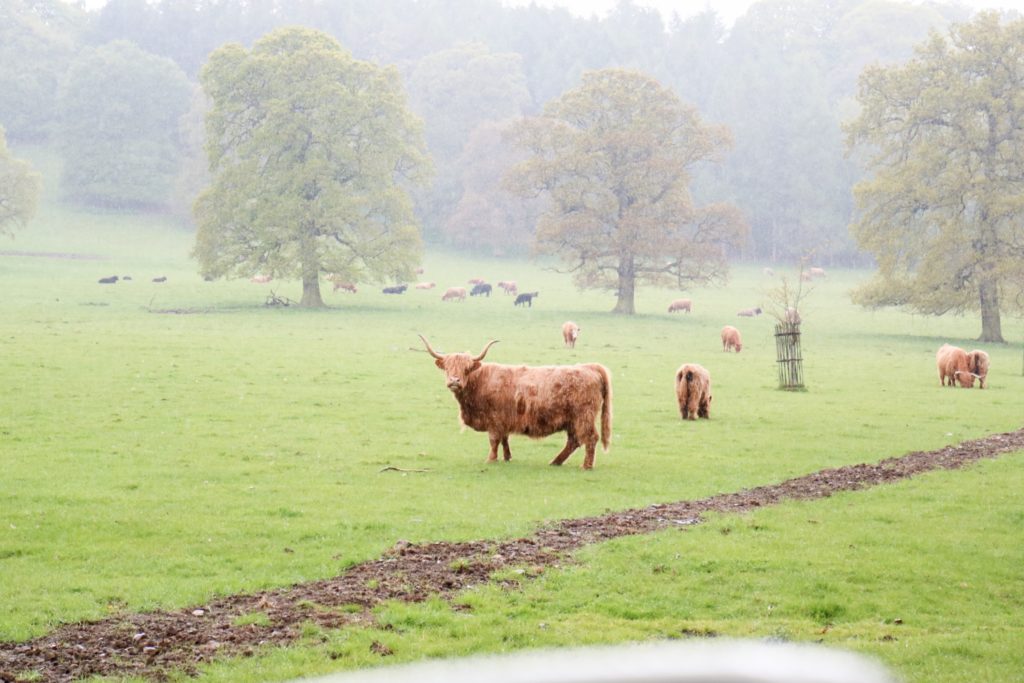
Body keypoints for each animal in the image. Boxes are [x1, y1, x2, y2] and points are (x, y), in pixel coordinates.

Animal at [417, 335, 610, 471]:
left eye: (466, 368)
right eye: (448, 368)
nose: (454, 381)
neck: (480, 382)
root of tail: (590, 367)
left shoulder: (495, 420)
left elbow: (494, 440)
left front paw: (491, 459)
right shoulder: (503, 421)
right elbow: (504, 439)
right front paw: (507, 458)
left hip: (583, 416)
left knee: (590, 438)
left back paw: (586, 466)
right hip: (572, 420)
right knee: (573, 441)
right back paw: (555, 462)